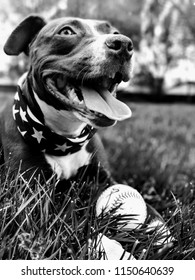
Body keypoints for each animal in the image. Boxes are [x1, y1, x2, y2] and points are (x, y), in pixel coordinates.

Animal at [0, 15, 133, 189]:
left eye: (115, 32)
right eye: (66, 31)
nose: (123, 43)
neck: (65, 137)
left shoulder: (104, 177)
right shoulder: (28, 184)